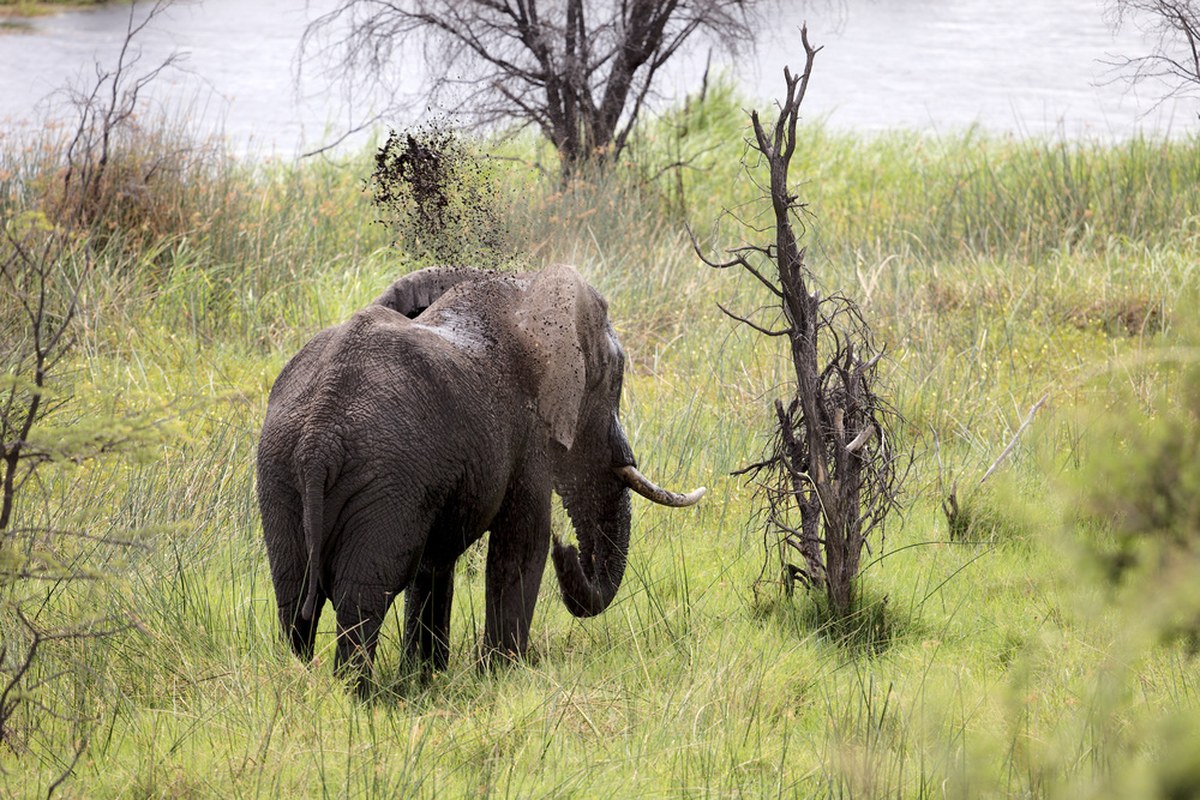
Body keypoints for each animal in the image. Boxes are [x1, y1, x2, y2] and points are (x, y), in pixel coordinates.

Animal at [253, 262, 700, 690]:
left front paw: (425, 677)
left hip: (283, 474)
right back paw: (357, 695)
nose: (569, 550)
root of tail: (319, 438)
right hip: (379, 478)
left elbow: (434, 563)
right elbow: (523, 543)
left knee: (294, 597)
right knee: (361, 598)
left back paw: (306, 681)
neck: (522, 286)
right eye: (613, 379)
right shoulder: (528, 433)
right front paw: (501, 675)